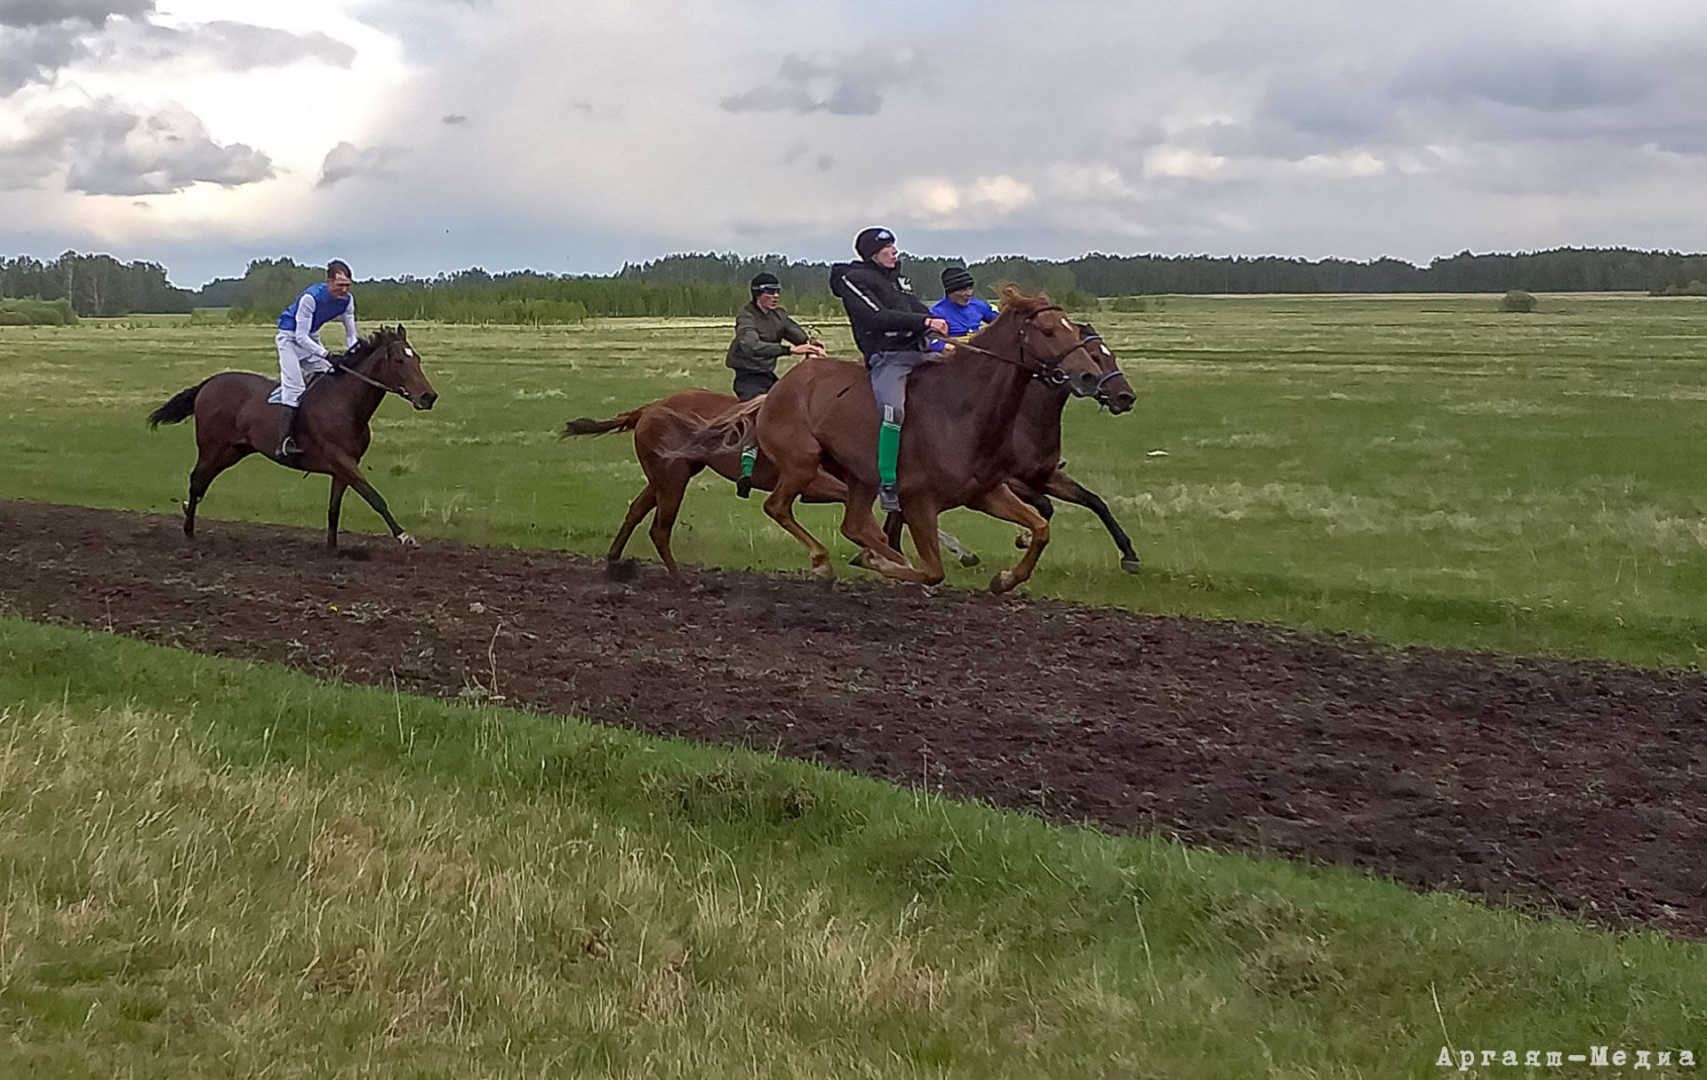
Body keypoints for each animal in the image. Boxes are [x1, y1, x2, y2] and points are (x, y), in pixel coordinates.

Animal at [145, 324, 436, 545]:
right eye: (399, 360)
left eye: (417, 359)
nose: (428, 396)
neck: (345, 404)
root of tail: (209, 382)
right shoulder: (341, 460)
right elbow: (375, 497)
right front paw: (404, 536)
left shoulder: (343, 467)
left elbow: (334, 509)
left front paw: (332, 548)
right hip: (212, 447)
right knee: (196, 481)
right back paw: (188, 530)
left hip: (233, 451)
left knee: (202, 482)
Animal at [559, 387, 983, 573]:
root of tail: (648, 408)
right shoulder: (815, 483)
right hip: (672, 479)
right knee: (659, 529)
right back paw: (679, 578)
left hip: (666, 475)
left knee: (635, 511)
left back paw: (615, 560)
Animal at [672, 286, 1126, 590]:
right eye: (1047, 330)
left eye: (1075, 333)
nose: (1091, 379)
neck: (962, 409)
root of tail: (780, 390)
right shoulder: (919, 500)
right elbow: (932, 569)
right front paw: (889, 567)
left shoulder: (987, 491)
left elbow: (1041, 527)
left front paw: (1005, 578)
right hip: (802, 465)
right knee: (779, 507)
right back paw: (827, 561)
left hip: (859, 479)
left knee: (856, 524)